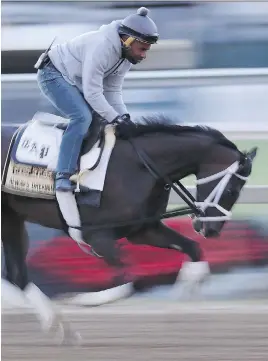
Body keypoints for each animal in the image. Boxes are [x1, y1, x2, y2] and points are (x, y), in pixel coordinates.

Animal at [1, 113, 258, 344]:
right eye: (232, 190)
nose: (211, 230)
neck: (137, 167)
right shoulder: (97, 236)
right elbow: (129, 283)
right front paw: (84, 299)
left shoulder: (143, 230)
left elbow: (194, 250)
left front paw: (182, 301)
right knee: (17, 275)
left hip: (12, 218)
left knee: (18, 276)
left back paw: (59, 327)